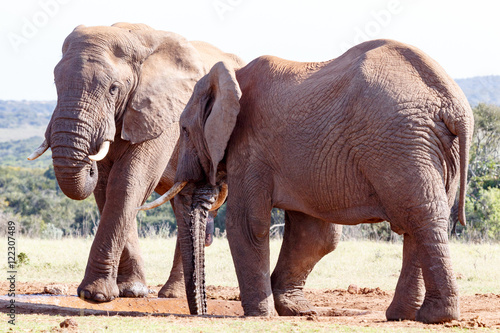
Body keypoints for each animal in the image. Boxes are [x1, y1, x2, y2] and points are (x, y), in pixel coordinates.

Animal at [29, 22, 244, 302]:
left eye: (113, 88)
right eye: (56, 82)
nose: (89, 165)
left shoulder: (164, 112)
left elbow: (127, 182)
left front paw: (94, 295)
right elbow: (107, 187)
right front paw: (131, 291)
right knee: (184, 204)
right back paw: (172, 294)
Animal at [143, 39, 474, 322]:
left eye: (184, 130)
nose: (201, 311)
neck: (230, 77)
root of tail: (454, 104)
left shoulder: (252, 147)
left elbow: (247, 224)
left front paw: (261, 315)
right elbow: (314, 235)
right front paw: (296, 310)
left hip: (399, 143)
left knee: (419, 216)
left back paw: (434, 317)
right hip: (428, 146)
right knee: (421, 218)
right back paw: (405, 316)